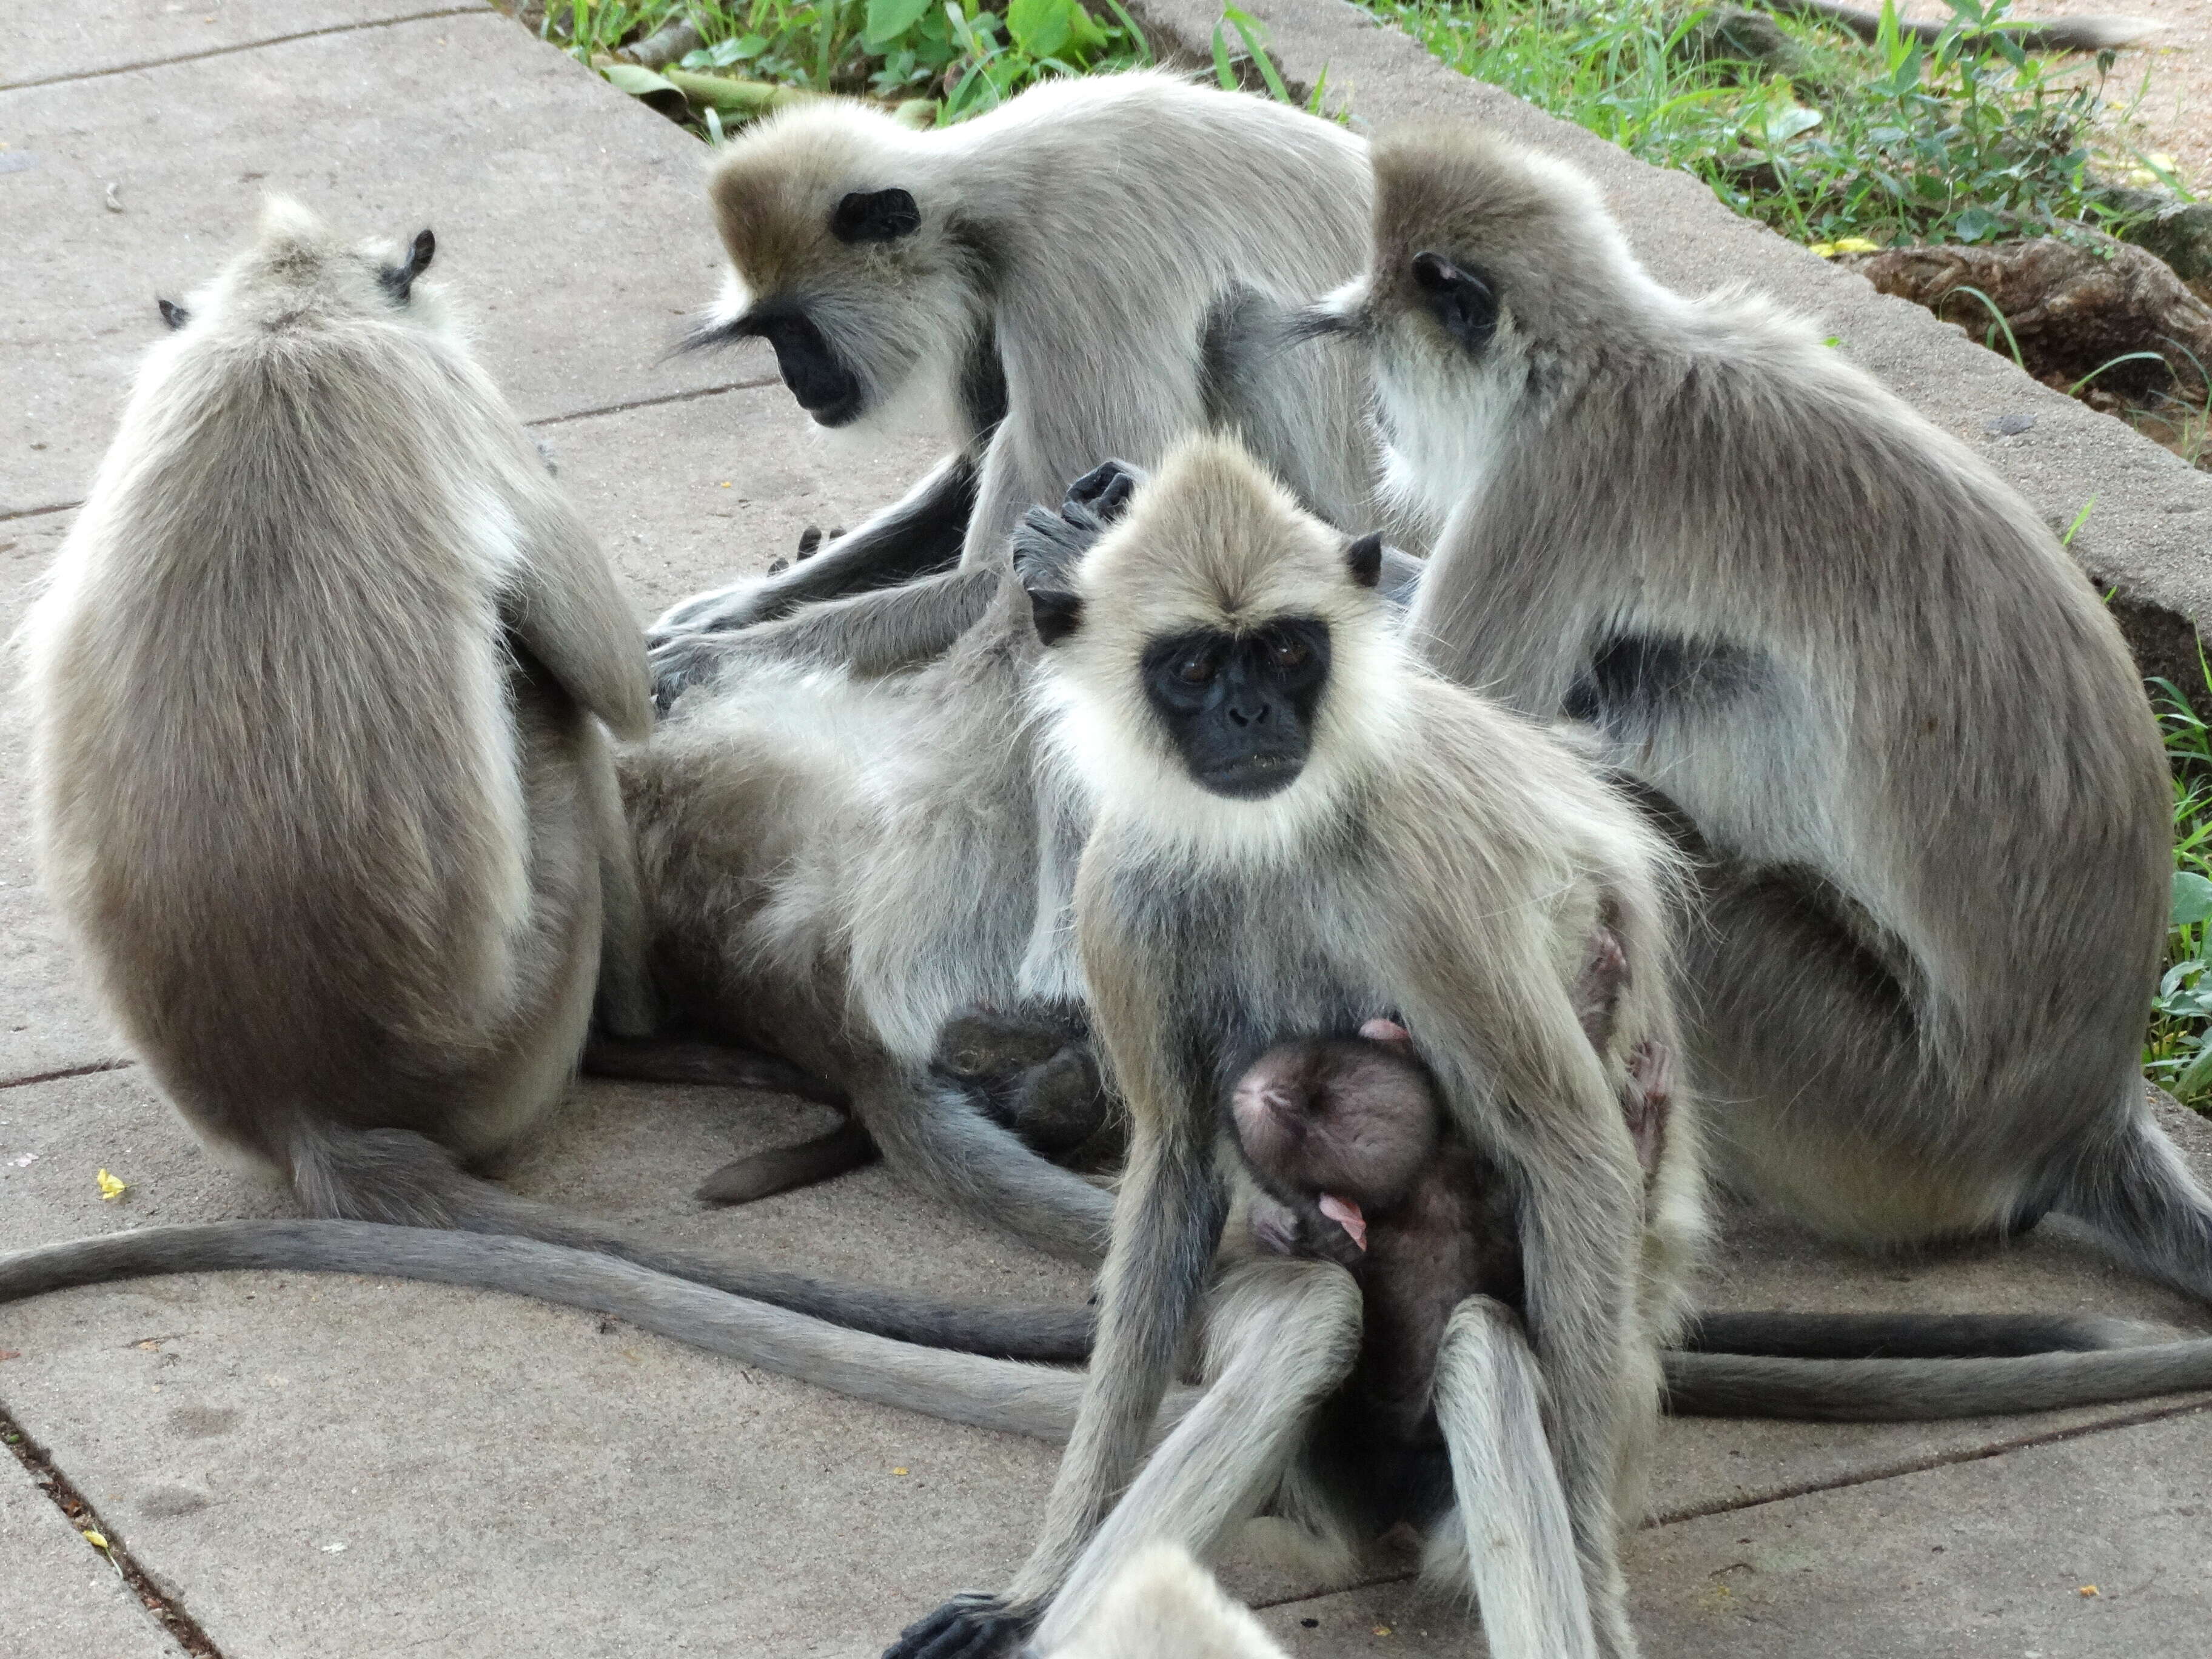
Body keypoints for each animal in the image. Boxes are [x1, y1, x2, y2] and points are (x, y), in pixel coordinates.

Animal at [646, 66, 1389, 694]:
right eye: (770, 334)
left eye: (796, 330)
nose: (797, 382)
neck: (982, 201)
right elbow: (961, 484)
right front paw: (720, 613)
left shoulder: (1075, 266)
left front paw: (711, 661)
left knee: (1239, 324)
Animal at [885, 438, 1708, 1659]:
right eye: (1191, 665)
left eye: (1283, 648)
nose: (1246, 711)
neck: (1267, 835)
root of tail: (1385, 1527)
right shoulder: (1120, 886)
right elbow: (1176, 1167)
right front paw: (1036, 1582)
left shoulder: (1420, 871)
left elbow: (1571, 1155)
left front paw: (1598, 1585)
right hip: (1312, 1488)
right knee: (1307, 1321)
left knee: (1487, 1347)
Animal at [1292, 133, 2212, 1362]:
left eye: (1381, 347)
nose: (1378, 416)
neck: (1612, 357)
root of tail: (2082, 1111)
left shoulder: (1549, 487)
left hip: (1873, 1103)